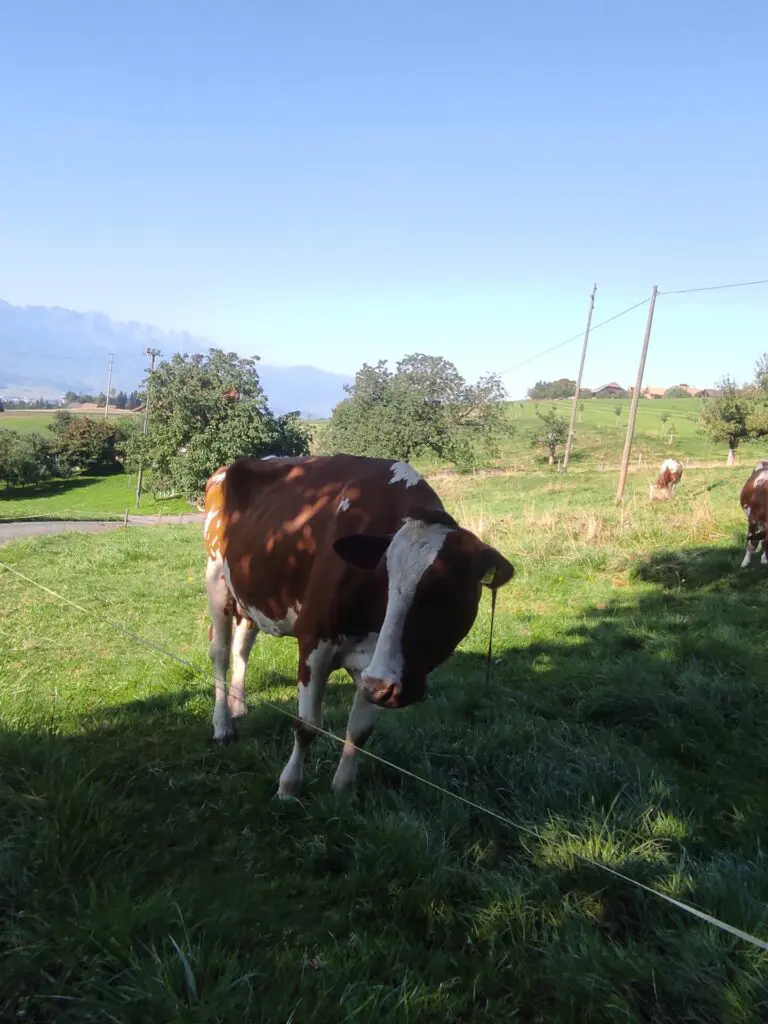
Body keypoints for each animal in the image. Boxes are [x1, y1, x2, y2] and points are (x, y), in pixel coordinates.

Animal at [203, 454, 515, 798]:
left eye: (444, 590)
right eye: (381, 581)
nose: (382, 685)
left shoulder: (373, 669)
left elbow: (360, 730)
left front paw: (342, 790)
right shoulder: (314, 643)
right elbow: (307, 725)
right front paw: (288, 787)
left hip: (250, 593)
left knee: (242, 646)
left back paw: (238, 705)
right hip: (216, 579)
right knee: (220, 652)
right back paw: (222, 725)